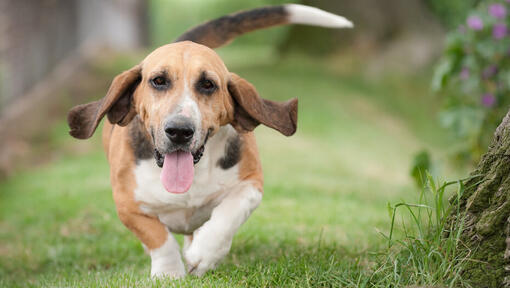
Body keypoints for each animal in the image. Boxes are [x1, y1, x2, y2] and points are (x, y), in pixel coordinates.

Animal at [67, 3, 352, 280]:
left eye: (208, 84)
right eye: (158, 81)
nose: (180, 131)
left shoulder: (251, 184)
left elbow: (230, 213)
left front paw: (204, 254)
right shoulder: (127, 205)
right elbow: (158, 237)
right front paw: (169, 273)